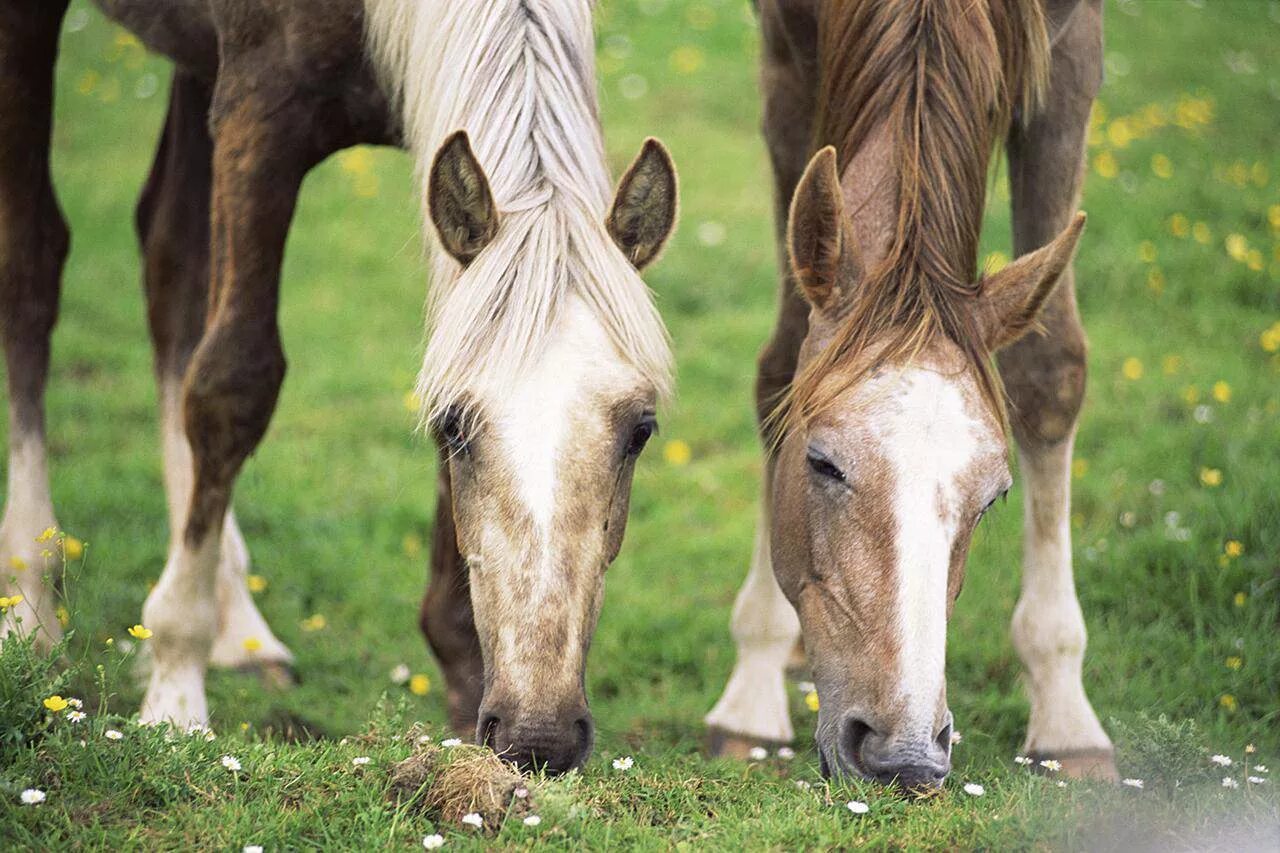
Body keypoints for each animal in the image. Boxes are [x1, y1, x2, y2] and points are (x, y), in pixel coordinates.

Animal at [0, 0, 680, 768]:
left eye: (641, 430)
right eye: (451, 424)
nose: (540, 737)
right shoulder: (259, 114)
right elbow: (233, 383)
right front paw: (174, 694)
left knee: (170, 261)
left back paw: (239, 628)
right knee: (32, 265)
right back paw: (30, 608)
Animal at [706, 0, 1116, 788]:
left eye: (994, 497)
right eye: (821, 464)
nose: (904, 754)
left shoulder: (1072, 54)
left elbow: (1051, 372)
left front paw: (1065, 713)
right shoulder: (788, 58)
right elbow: (780, 368)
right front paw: (752, 685)